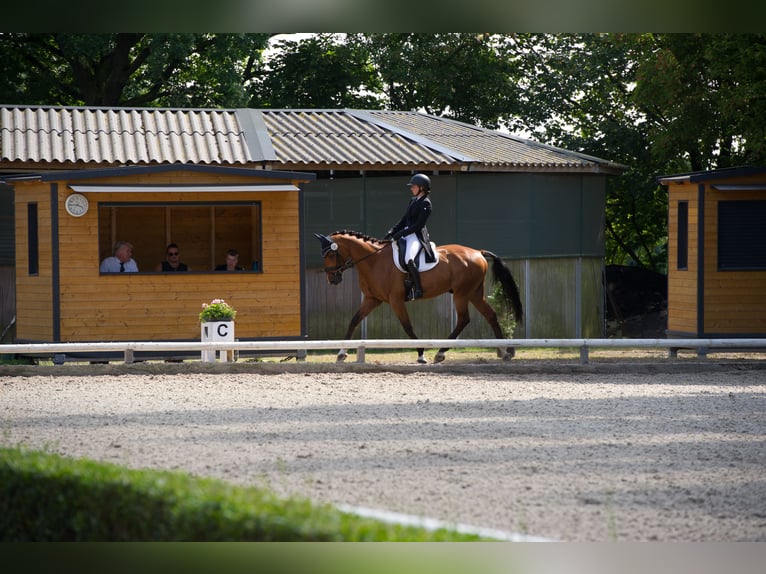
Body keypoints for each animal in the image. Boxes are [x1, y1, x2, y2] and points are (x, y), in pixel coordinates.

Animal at [316, 230, 524, 364]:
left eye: (330, 255)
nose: (332, 279)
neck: (374, 260)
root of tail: (478, 252)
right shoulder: (372, 299)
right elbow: (354, 321)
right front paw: (341, 353)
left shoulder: (395, 300)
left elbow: (407, 326)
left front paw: (421, 354)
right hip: (474, 293)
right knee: (490, 315)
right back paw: (504, 351)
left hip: (461, 293)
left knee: (464, 319)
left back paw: (440, 353)